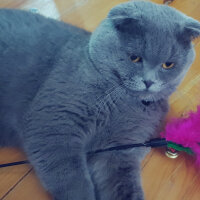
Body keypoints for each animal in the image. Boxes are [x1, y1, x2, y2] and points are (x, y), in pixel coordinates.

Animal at [0, 0, 200, 199]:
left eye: (168, 65)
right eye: (135, 58)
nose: (149, 81)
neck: (120, 103)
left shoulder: (120, 147)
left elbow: (122, 182)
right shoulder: (56, 123)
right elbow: (72, 180)